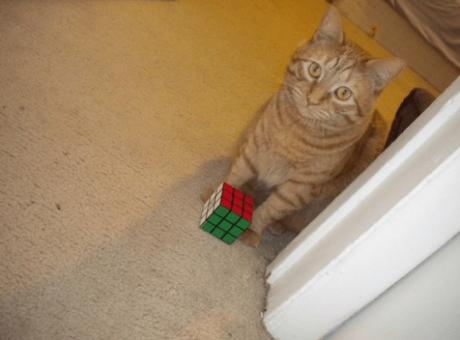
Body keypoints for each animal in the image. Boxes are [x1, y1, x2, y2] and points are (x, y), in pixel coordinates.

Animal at [218, 7, 402, 247]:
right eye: (315, 69)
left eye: (343, 93)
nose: (312, 99)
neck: (296, 131)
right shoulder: (252, 149)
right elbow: (235, 177)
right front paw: (216, 197)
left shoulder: (299, 187)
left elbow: (270, 209)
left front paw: (252, 229)